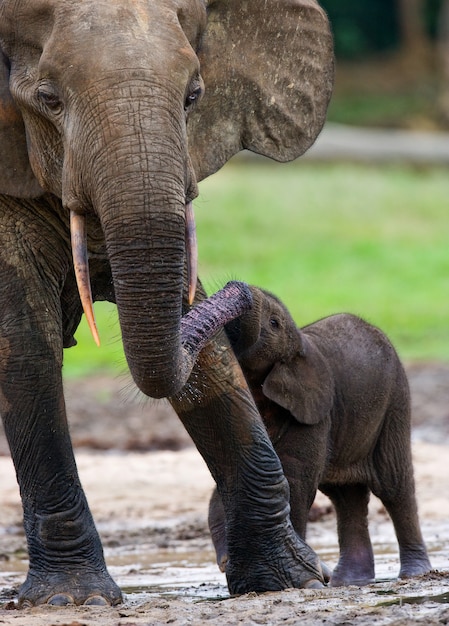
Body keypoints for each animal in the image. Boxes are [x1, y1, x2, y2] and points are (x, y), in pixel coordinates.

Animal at [0, 0, 332, 608]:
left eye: (193, 96)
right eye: (49, 99)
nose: (243, 291)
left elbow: (207, 355)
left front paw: (290, 581)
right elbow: (25, 344)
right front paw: (75, 600)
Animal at [210, 284, 430, 584]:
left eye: (274, 323)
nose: (238, 287)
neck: (298, 347)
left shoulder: (314, 414)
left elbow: (295, 480)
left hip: (395, 402)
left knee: (394, 486)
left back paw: (414, 574)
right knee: (346, 496)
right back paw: (349, 581)